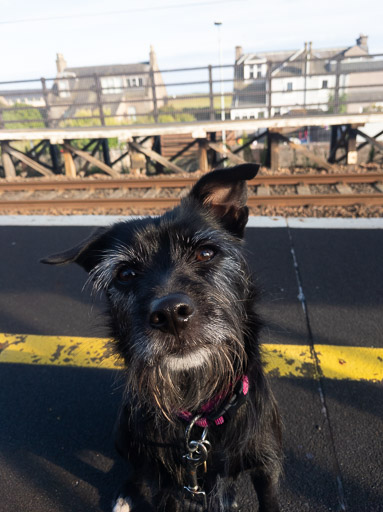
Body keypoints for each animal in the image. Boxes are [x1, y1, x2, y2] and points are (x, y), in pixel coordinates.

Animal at [42, 165, 282, 512]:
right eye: (125, 274)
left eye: (205, 252)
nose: (170, 314)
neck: (198, 415)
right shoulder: (170, 486)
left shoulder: (267, 466)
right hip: (123, 432)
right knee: (137, 469)